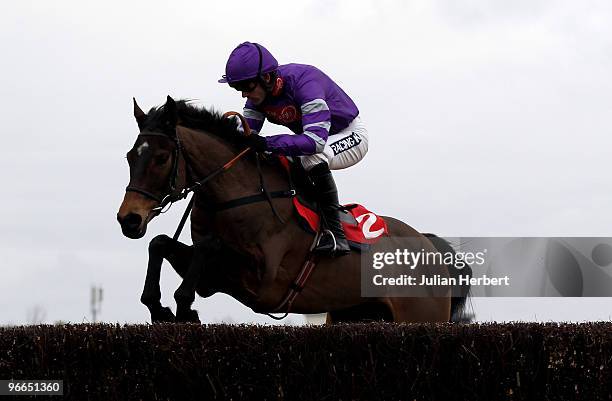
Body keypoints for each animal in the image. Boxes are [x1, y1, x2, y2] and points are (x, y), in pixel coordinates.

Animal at [116, 96, 468, 322]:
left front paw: (183, 307)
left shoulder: (262, 282)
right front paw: (160, 307)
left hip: (421, 318)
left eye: (162, 158)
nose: (129, 219)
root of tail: (431, 247)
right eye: (131, 156)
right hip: (355, 314)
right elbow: (160, 243)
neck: (239, 195)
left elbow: (208, 248)